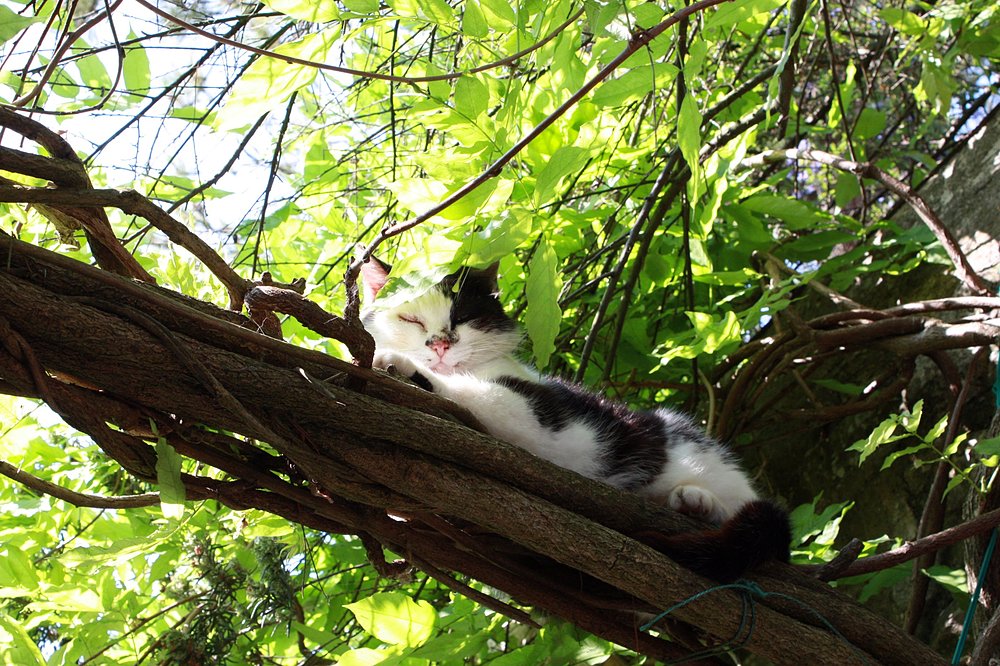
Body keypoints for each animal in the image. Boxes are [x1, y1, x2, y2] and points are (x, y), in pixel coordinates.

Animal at [360, 256, 788, 580]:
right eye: (411, 320)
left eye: (463, 315)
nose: (441, 344)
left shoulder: (543, 420)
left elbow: (472, 391)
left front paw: (403, 365)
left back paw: (699, 501)